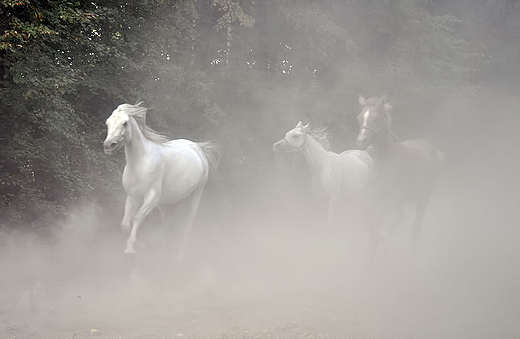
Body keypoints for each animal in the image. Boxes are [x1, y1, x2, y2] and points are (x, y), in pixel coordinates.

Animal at [103, 102, 219, 262]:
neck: (140, 163)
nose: (109, 145)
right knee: (168, 220)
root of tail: (198, 148)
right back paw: (155, 242)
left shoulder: (151, 196)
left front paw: (130, 249)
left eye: (125, 123)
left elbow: (137, 218)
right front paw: (138, 245)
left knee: (185, 227)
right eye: (107, 122)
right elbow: (125, 225)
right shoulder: (132, 197)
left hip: (195, 196)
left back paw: (178, 258)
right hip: (165, 203)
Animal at [358, 94, 442, 258]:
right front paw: (375, 246)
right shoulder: (375, 196)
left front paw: (380, 240)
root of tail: (433, 149)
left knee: (415, 226)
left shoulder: (393, 198)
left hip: (423, 197)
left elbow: (381, 217)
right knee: (399, 218)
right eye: (360, 118)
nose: (361, 141)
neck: (387, 161)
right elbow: (367, 213)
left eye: (376, 118)